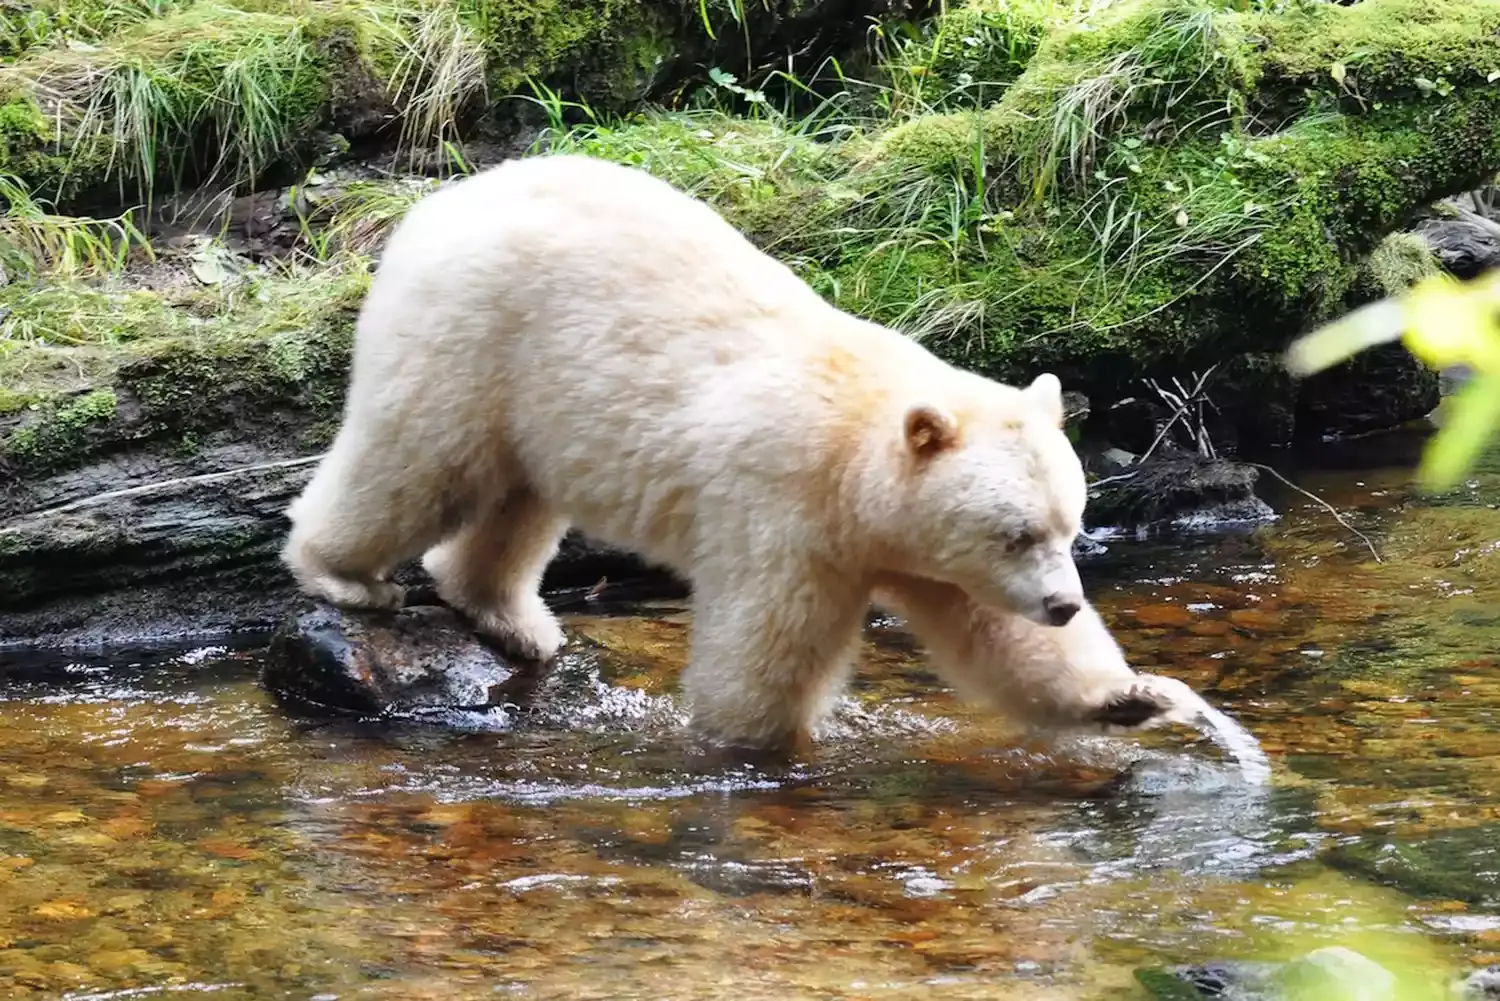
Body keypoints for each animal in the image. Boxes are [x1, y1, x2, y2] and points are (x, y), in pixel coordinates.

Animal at [279, 154, 1194, 750]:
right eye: (1015, 532)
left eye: (1070, 526)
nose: (1066, 602)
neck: (857, 448)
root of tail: (436, 204)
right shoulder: (787, 505)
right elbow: (769, 640)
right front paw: (757, 745)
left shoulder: (916, 546)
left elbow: (996, 635)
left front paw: (1132, 695)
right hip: (474, 336)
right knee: (418, 461)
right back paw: (345, 575)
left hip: (533, 393)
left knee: (517, 499)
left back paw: (514, 618)